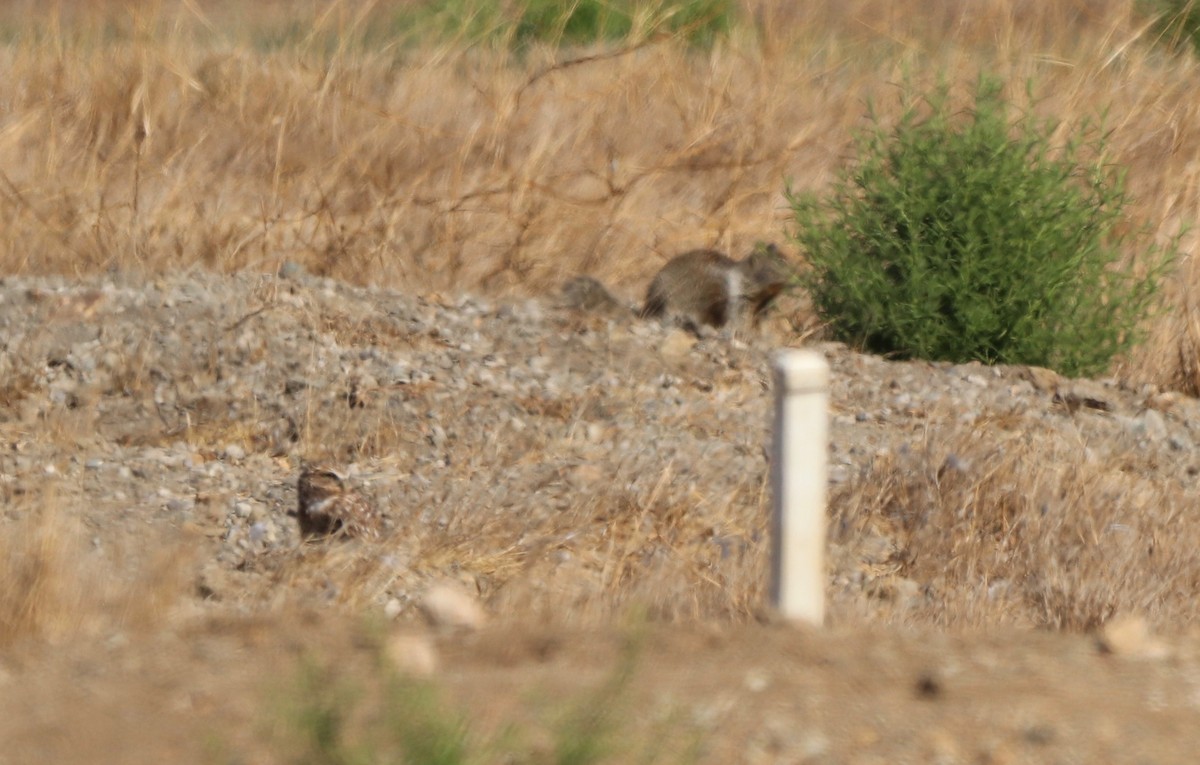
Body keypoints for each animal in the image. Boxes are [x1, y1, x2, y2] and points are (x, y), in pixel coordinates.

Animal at [564, 242, 792, 333]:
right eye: (775, 265)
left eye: (785, 259)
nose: (795, 276)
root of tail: (650, 306)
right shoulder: (738, 302)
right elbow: (738, 322)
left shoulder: (762, 310)